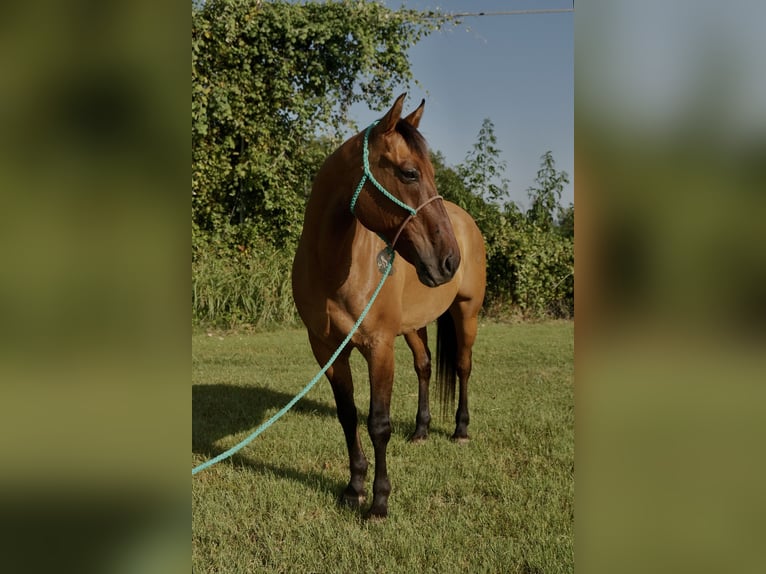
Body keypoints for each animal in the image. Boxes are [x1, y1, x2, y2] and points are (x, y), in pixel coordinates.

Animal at [294, 94, 486, 520]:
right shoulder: (327, 350)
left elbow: (378, 423)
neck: (334, 267)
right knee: (425, 366)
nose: (450, 261)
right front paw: (354, 488)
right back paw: (421, 431)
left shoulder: (379, 346)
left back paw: (461, 430)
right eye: (410, 173)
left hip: (467, 312)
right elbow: (348, 415)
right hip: (414, 326)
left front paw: (379, 501)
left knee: (463, 367)